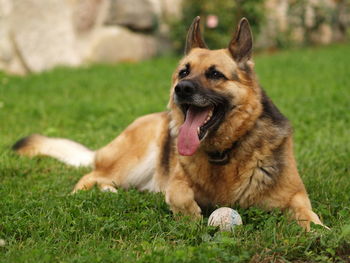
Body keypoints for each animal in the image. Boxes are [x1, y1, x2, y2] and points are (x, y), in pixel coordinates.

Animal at [13, 17, 326, 231]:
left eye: (215, 74)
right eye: (183, 72)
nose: (181, 89)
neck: (225, 152)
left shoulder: (295, 195)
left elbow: (308, 215)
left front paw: (319, 231)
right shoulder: (177, 181)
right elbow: (178, 193)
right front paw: (189, 216)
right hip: (135, 158)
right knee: (88, 178)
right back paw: (104, 191)